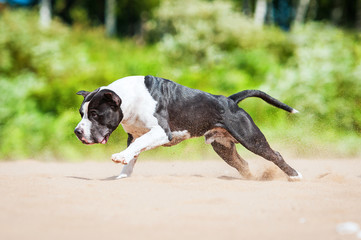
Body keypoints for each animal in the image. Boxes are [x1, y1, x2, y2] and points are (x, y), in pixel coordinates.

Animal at [74, 75, 302, 180]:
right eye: (81, 113)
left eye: (95, 114)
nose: (77, 131)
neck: (130, 98)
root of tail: (229, 100)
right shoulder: (134, 135)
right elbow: (133, 154)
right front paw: (123, 175)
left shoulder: (160, 132)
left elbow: (137, 146)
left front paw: (119, 156)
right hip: (223, 147)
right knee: (243, 164)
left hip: (251, 139)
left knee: (274, 155)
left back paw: (294, 175)